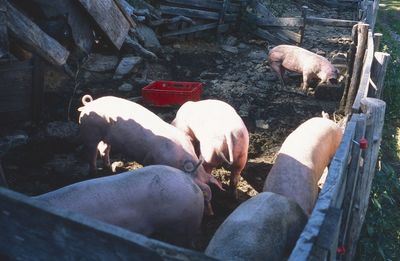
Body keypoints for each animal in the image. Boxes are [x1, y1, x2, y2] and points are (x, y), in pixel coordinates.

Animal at [78, 94, 222, 214]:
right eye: (202, 192)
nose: (211, 214)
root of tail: (89, 105)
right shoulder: (150, 158)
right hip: (90, 133)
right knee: (92, 152)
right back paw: (94, 172)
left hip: (105, 138)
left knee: (104, 149)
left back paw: (108, 167)